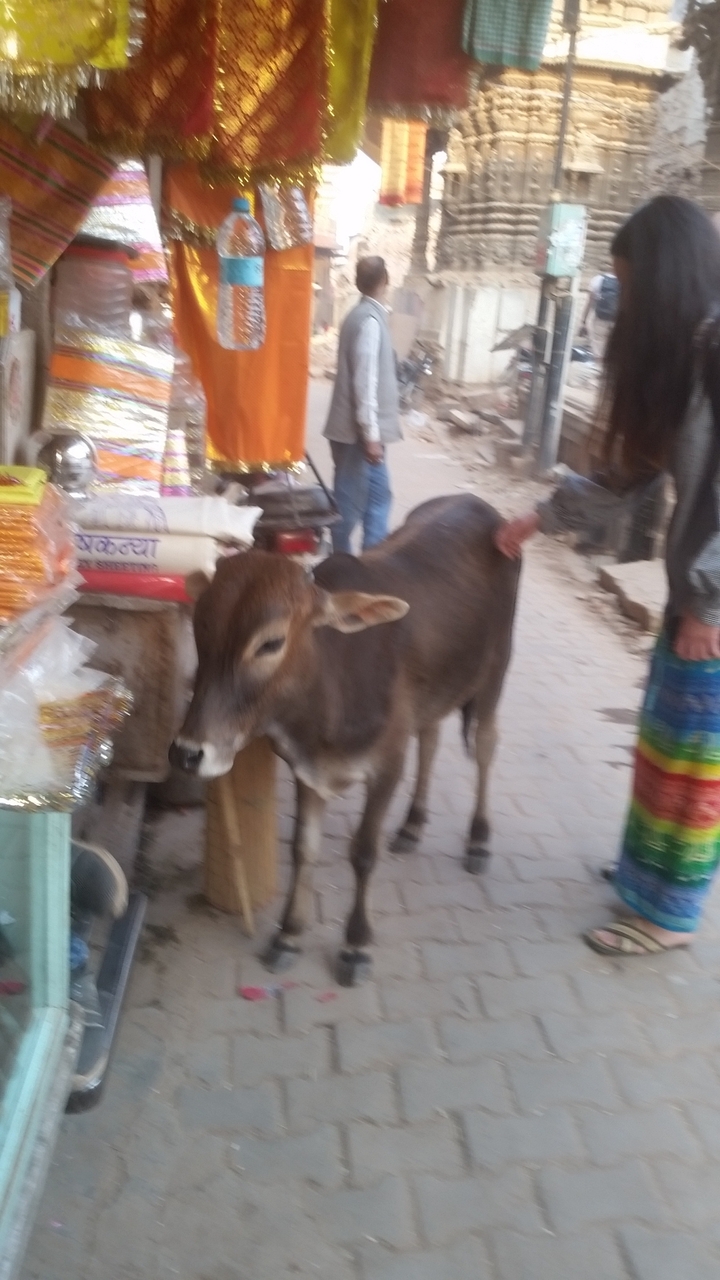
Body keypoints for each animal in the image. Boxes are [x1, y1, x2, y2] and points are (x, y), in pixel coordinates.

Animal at [171, 495, 520, 985]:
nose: (188, 753)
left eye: (271, 642)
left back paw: (479, 838)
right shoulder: (305, 767)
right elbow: (304, 849)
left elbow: (363, 854)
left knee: (486, 746)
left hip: (495, 672)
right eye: (201, 627)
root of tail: (478, 504)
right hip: (436, 692)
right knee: (431, 739)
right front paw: (288, 934)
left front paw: (356, 945)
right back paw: (412, 825)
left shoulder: (387, 765)